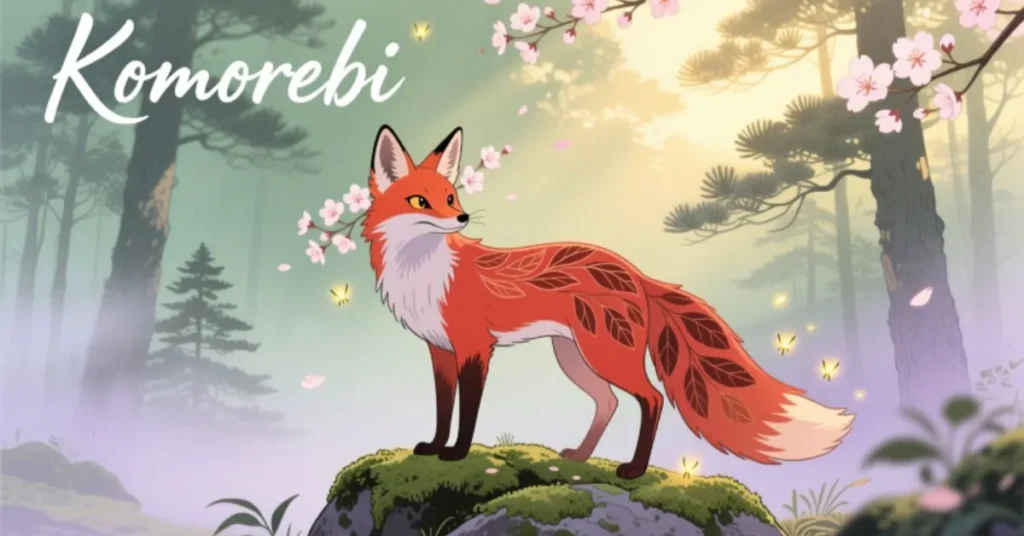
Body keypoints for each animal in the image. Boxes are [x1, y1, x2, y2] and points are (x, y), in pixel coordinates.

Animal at [361, 124, 855, 479]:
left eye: (451, 197)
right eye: (421, 201)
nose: (462, 217)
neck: (421, 270)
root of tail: (636, 272)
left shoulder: (474, 349)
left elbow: (468, 414)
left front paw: (457, 453)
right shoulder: (440, 350)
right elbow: (444, 409)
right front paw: (433, 447)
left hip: (606, 355)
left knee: (651, 399)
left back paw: (634, 469)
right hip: (576, 357)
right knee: (609, 404)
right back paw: (580, 455)